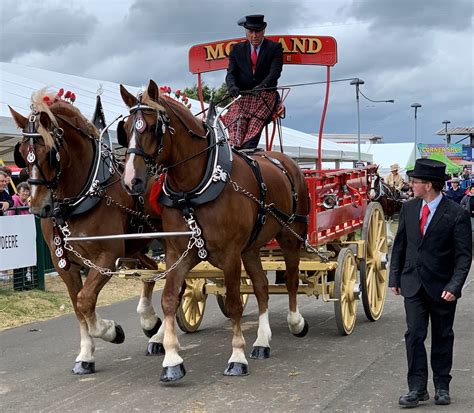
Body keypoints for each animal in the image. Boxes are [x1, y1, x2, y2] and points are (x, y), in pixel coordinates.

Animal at [8, 90, 161, 374]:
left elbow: (85, 300)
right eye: (22, 152)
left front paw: (111, 331)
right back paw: (150, 322)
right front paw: (86, 355)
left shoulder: (107, 257)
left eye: (51, 153)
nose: (37, 207)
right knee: (154, 270)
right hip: (134, 249)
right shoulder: (64, 264)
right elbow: (78, 307)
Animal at [118, 80, 312, 384]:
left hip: (291, 236)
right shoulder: (178, 253)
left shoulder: (230, 255)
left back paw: (295, 321)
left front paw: (237, 357)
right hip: (252, 248)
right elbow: (170, 298)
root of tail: (286, 161)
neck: (195, 188)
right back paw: (262, 341)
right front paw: (171, 360)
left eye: (151, 127)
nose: (130, 181)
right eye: (125, 129)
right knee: (262, 287)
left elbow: (234, 303)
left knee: (291, 279)